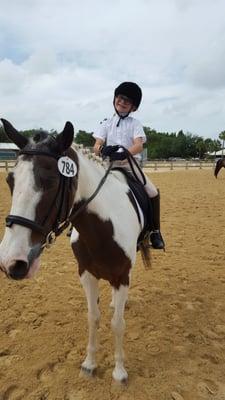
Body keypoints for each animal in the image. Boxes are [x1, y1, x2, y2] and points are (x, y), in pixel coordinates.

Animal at [0, 119, 151, 384]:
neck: (102, 227)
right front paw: (89, 364)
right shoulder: (86, 274)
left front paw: (119, 372)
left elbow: (118, 323)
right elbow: (93, 317)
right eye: (10, 180)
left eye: (50, 181)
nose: (11, 261)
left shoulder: (122, 276)